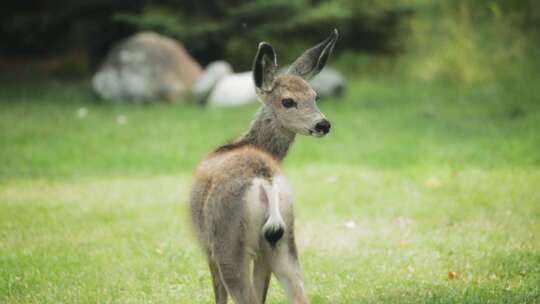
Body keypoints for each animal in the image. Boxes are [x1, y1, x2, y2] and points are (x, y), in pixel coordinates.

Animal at [191, 29, 338, 304]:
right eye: (288, 101)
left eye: (315, 97)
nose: (323, 124)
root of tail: (265, 179)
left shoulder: (208, 247)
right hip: (283, 239)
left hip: (228, 243)